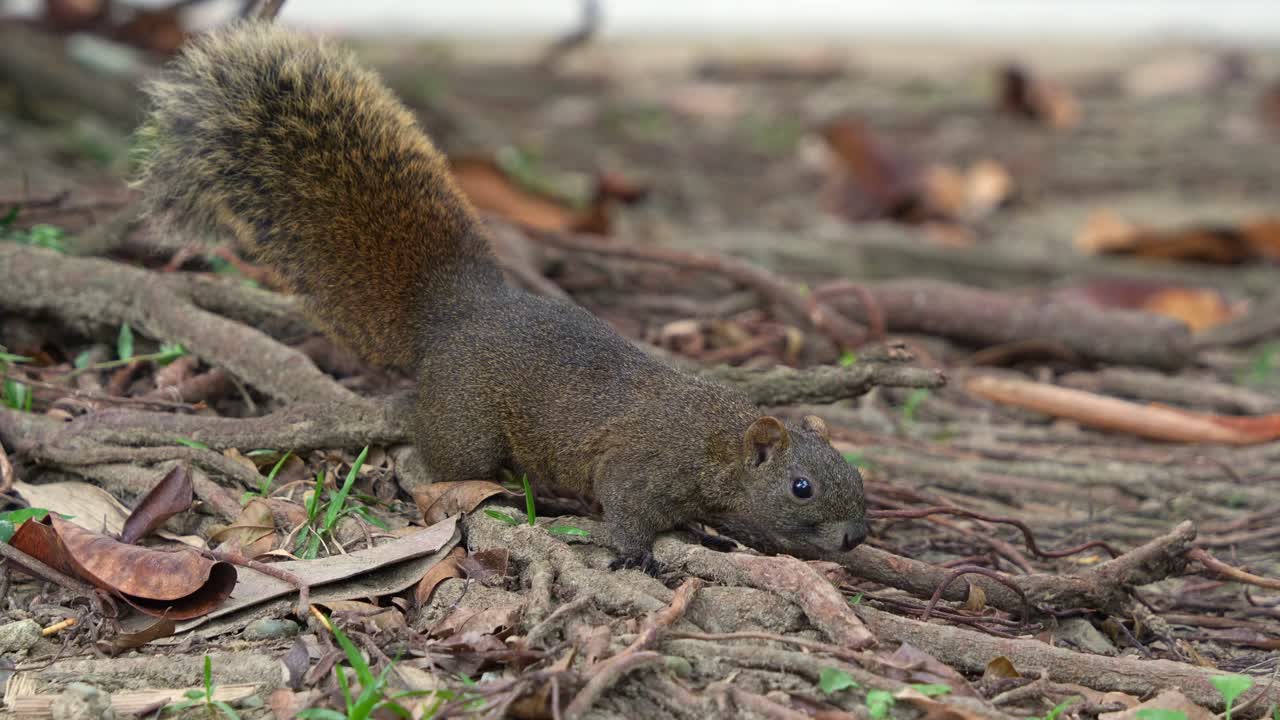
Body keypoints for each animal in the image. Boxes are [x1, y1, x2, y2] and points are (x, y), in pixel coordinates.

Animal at [131, 22, 869, 572]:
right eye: (801, 486)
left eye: (855, 478)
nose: (857, 536)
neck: (716, 442)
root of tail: (455, 315)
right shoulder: (641, 467)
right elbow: (626, 509)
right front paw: (639, 555)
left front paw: (711, 533)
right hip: (467, 427)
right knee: (434, 458)